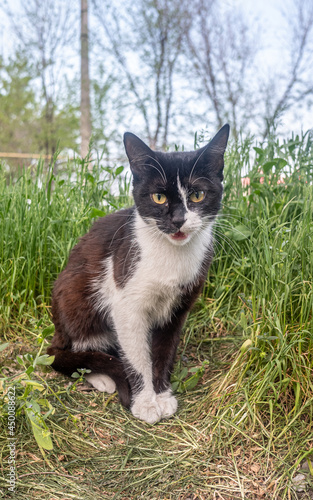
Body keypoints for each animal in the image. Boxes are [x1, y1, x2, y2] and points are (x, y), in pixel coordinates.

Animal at [47, 124, 229, 422]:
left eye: (197, 195)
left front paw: (162, 395)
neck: (171, 254)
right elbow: (138, 357)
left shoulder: (179, 307)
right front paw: (144, 402)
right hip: (74, 296)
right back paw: (101, 376)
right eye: (159, 197)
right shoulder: (125, 302)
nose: (178, 220)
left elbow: (164, 351)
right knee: (67, 351)